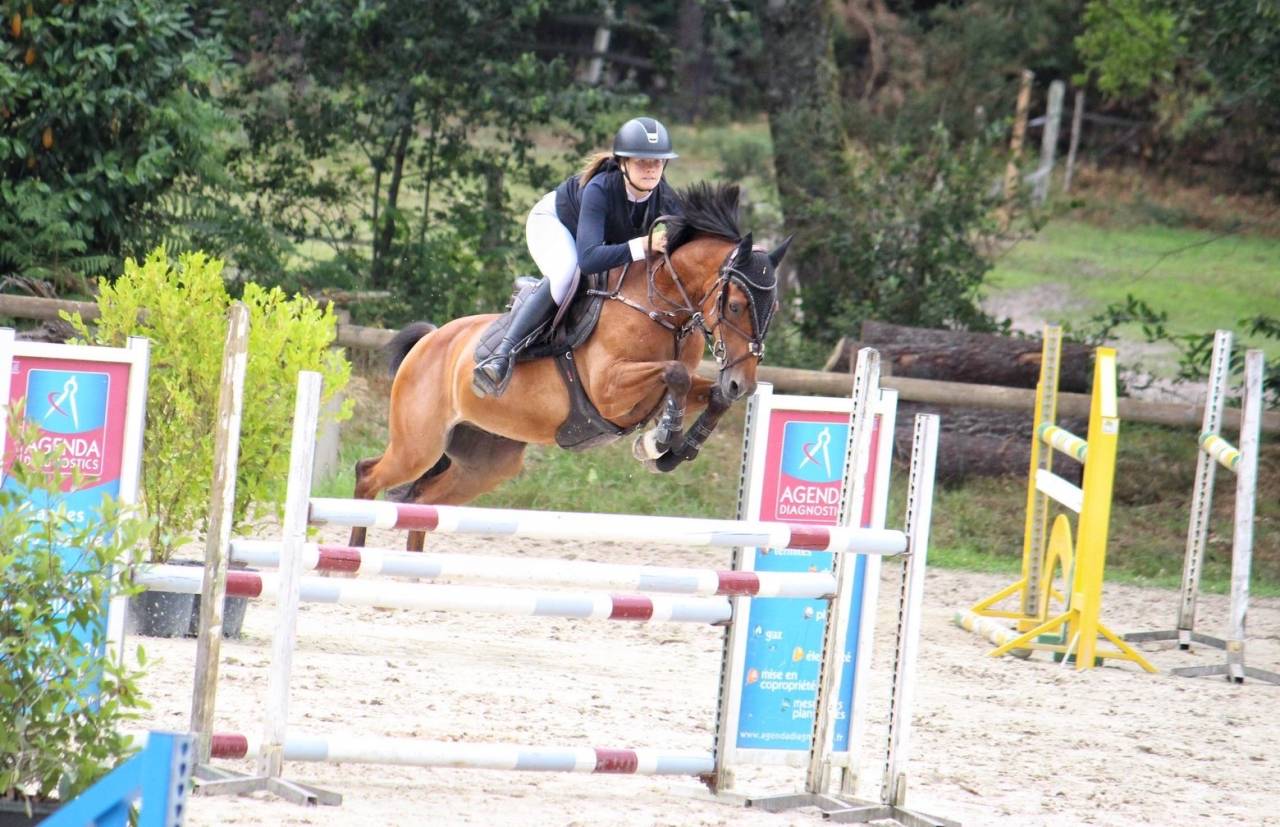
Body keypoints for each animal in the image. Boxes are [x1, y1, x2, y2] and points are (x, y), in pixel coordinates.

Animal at [348, 182, 792, 550]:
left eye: (774, 310)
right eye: (736, 306)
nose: (743, 384)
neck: (661, 307)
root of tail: (429, 341)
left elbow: (709, 394)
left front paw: (675, 448)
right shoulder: (610, 389)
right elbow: (675, 374)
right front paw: (660, 441)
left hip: (485, 463)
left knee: (424, 501)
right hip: (418, 445)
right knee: (368, 474)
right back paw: (351, 559)